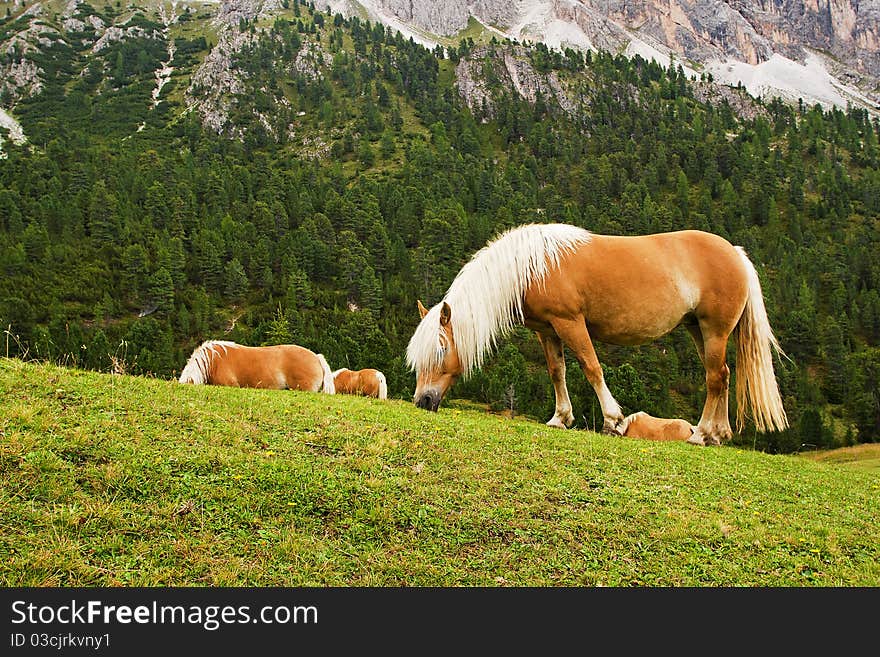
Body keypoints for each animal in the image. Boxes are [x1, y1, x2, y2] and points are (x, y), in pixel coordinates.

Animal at [408, 222, 792, 446]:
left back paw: (700, 434)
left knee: (714, 379)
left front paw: (612, 421)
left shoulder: (570, 322)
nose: (423, 401)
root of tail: (735, 253)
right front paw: (560, 419)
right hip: (699, 329)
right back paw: (717, 434)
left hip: (714, 330)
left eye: (440, 351)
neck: (532, 265)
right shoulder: (548, 330)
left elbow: (591, 368)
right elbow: (557, 372)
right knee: (723, 376)